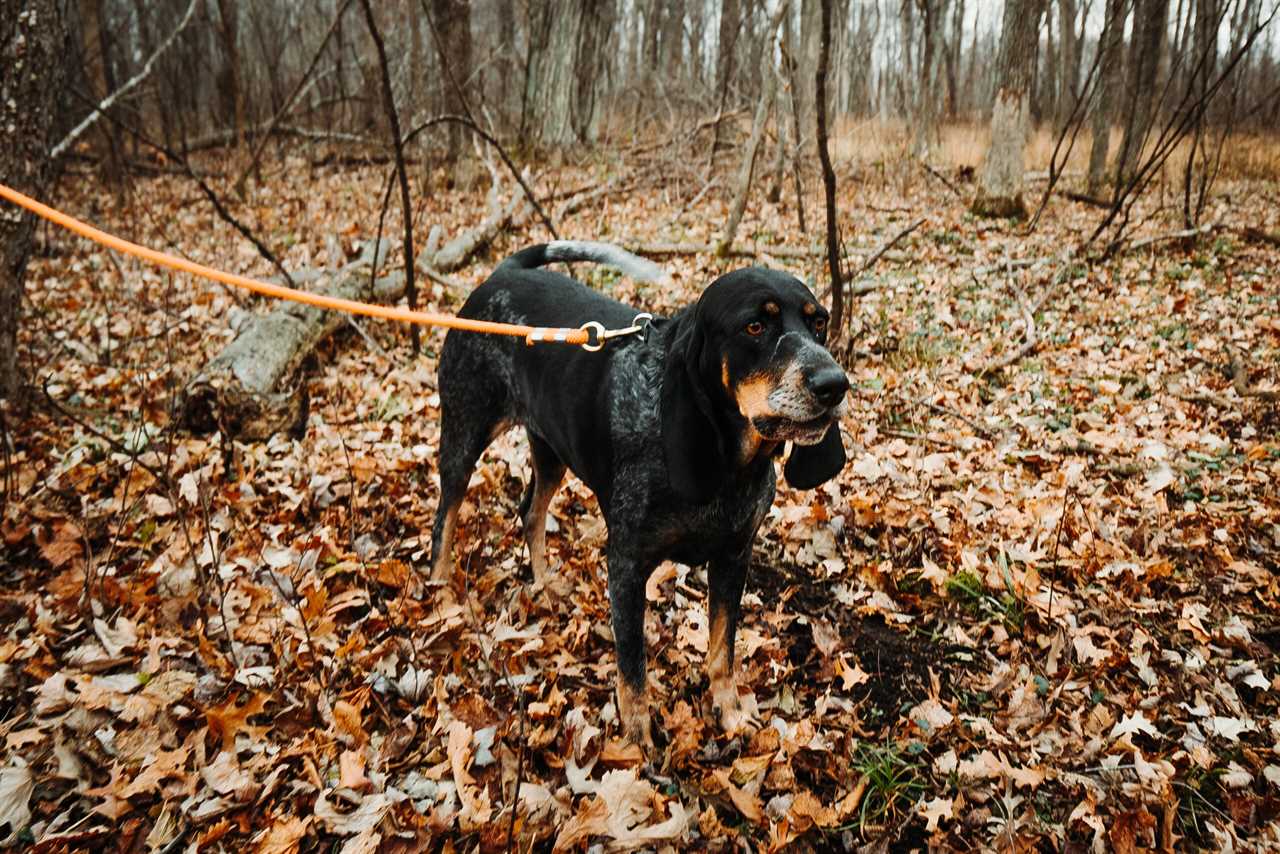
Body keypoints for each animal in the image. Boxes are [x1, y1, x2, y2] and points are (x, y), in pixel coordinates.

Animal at [430, 240, 849, 747]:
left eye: (819, 322)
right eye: (755, 326)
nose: (835, 385)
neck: (729, 467)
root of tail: (503, 273)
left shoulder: (734, 558)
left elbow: (722, 650)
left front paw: (729, 711)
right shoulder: (627, 567)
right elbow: (633, 667)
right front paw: (636, 738)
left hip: (551, 449)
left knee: (531, 511)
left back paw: (546, 582)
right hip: (465, 432)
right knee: (445, 517)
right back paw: (441, 595)